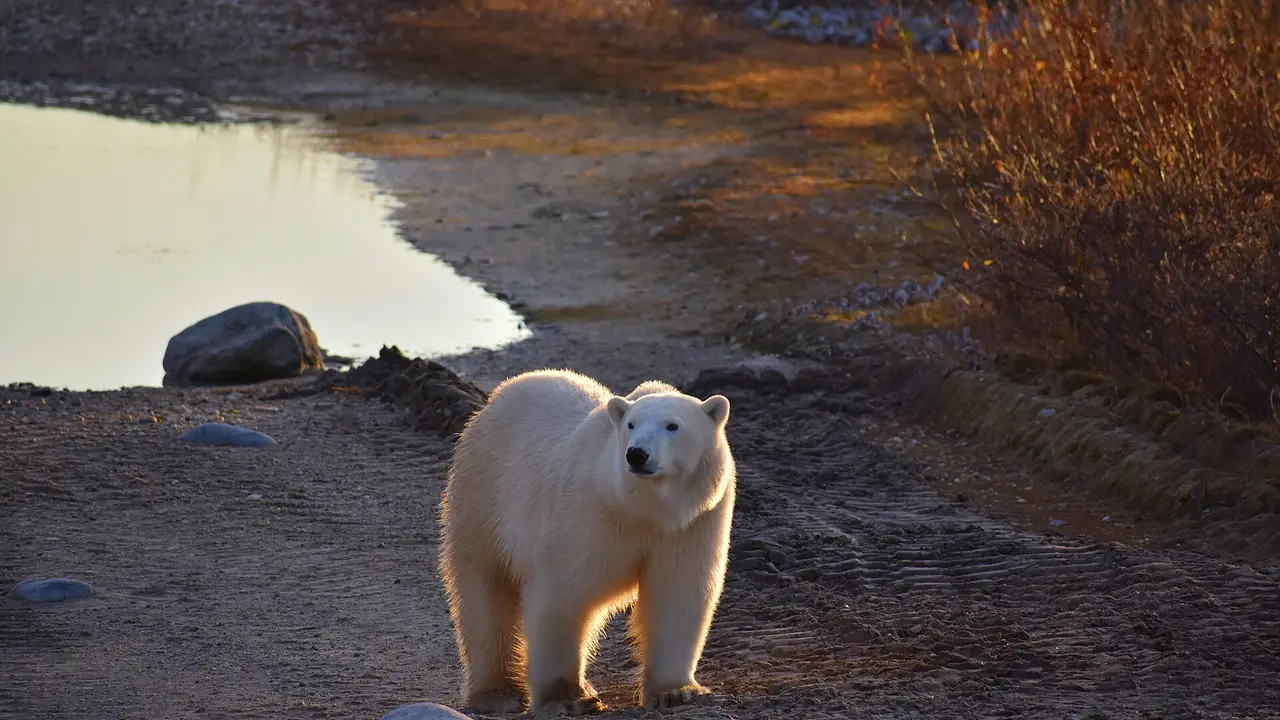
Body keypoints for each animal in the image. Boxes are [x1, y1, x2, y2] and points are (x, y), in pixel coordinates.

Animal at [438, 368, 736, 716]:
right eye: (631, 424)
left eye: (672, 425)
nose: (636, 454)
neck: (642, 510)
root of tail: (496, 398)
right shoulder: (585, 512)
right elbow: (563, 594)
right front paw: (567, 699)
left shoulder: (693, 523)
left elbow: (678, 593)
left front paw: (675, 691)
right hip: (483, 498)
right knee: (485, 592)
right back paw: (498, 693)